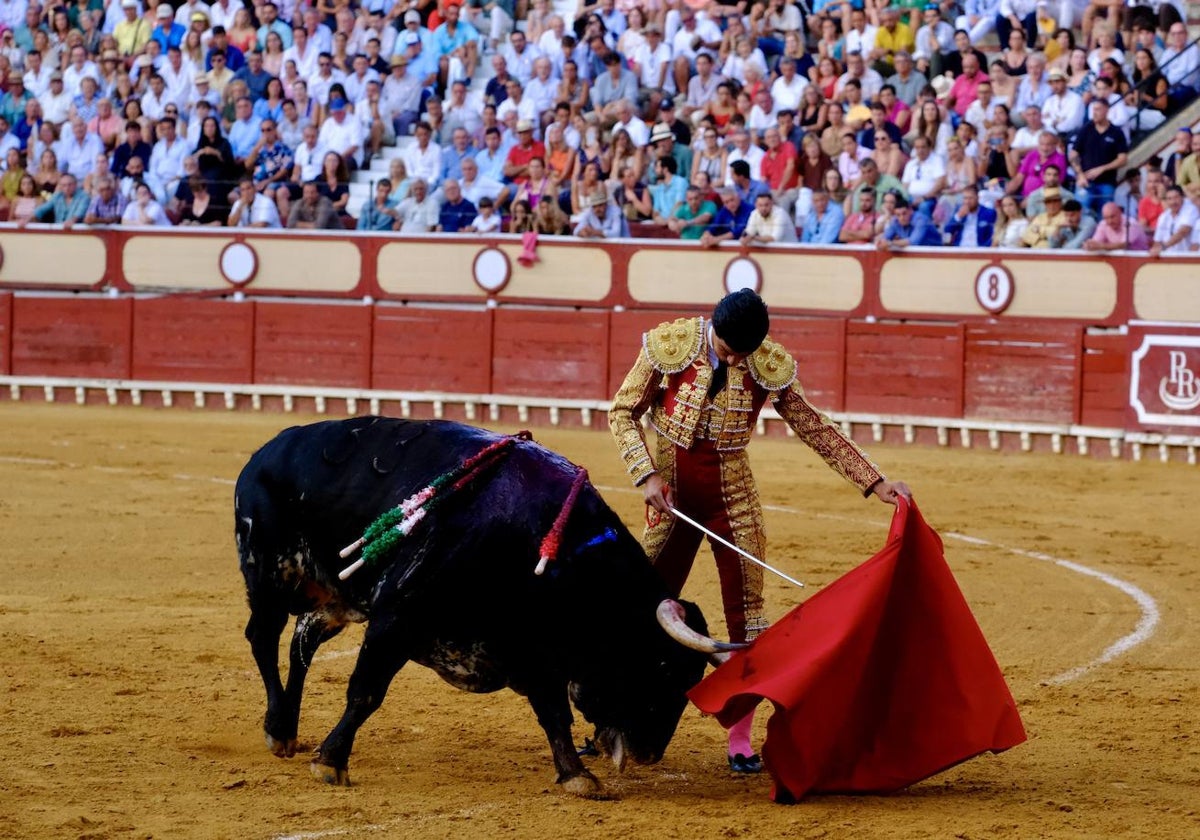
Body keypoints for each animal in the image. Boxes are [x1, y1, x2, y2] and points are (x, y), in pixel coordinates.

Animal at [235, 417, 734, 796]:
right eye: (663, 667)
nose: (650, 751)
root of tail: (266, 450)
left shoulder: (534, 648)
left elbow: (554, 713)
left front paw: (576, 775)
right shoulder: (396, 617)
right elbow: (366, 692)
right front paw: (332, 763)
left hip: (335, 597)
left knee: (302, 641)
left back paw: (287, 730)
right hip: (271, 573)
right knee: (264, 636)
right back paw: (278, 727)